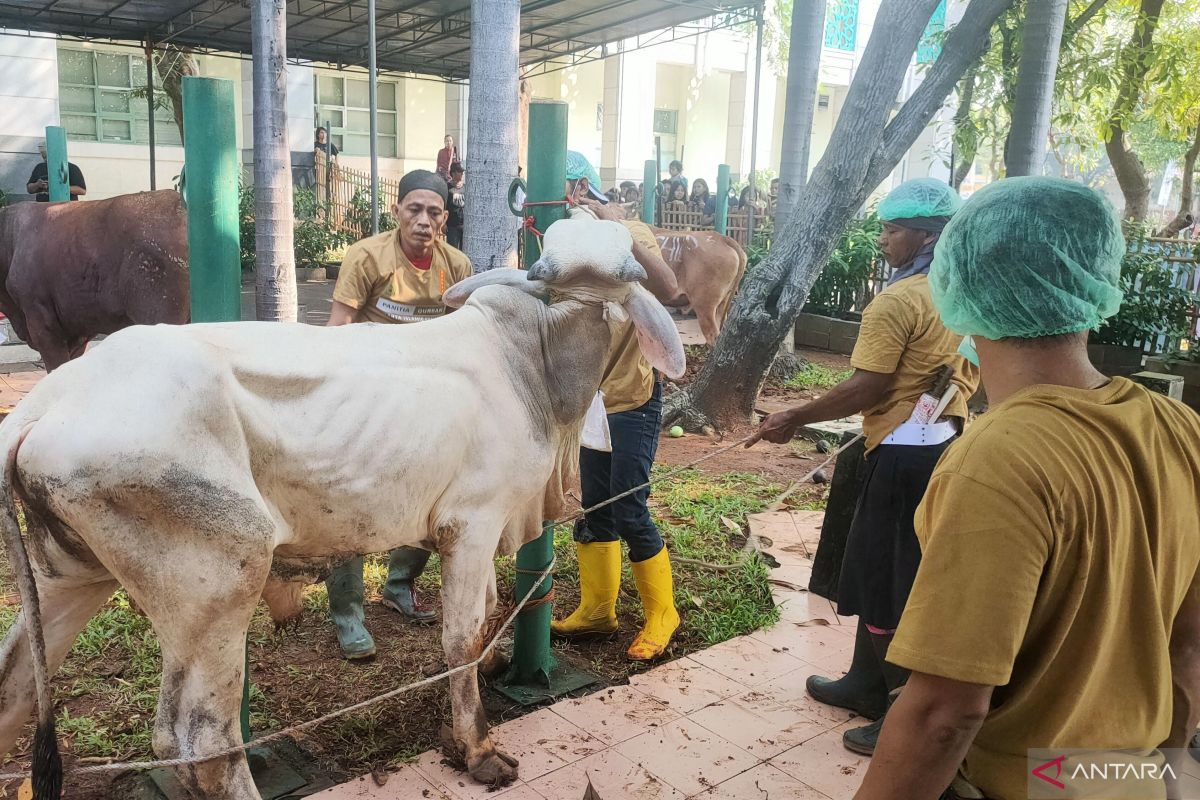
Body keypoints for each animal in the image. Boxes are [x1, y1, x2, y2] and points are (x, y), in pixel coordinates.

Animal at [0, 219, 686, 800]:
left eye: (623, 260)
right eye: (551, 251)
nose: (570, 274)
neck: (534, 362)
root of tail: (48, 400)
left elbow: (490, 612)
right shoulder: (472, 523)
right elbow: (461, 636)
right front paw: (476, 748)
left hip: (75, 576)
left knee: (23, 693)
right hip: (218, 583)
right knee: (201, 740)